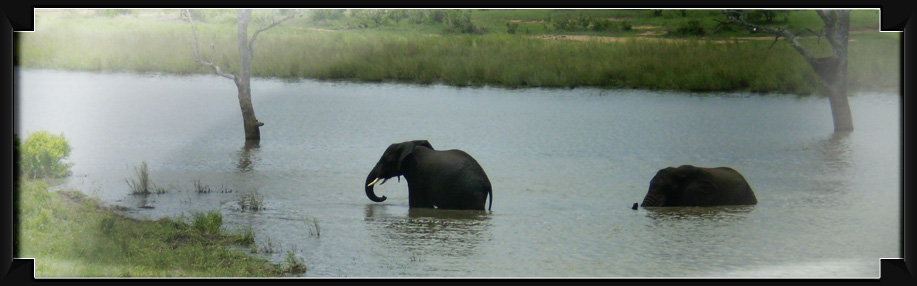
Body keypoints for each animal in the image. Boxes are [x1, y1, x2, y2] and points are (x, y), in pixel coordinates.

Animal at [364, 140, 494, 210]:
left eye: (384, 160)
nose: (384, 196)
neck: (409, 144)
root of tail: (488, 183)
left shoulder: (417, 174)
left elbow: (418, 203)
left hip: (471, 192)